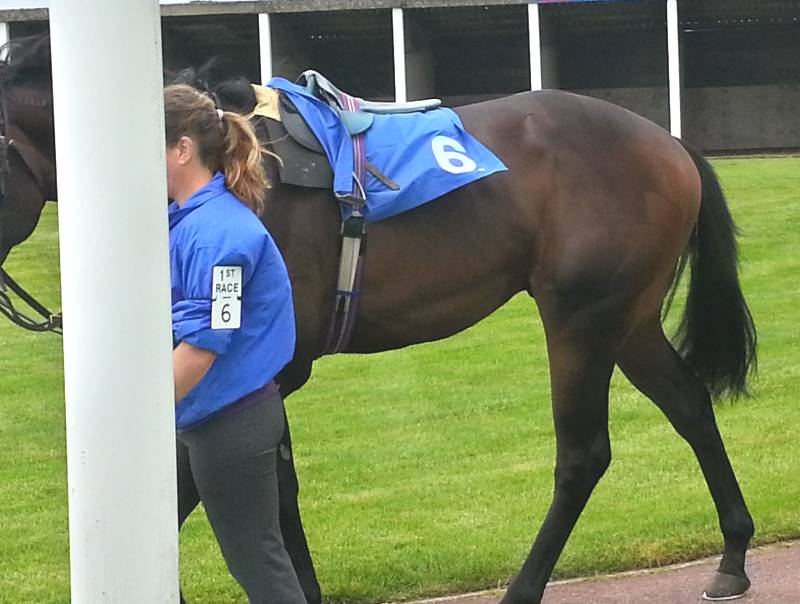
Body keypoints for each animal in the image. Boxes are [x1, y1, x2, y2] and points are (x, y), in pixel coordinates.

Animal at [0, 35, 757, 603]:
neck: (237, 174)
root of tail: (668, 142)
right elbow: (269, 485)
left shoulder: (264, 366)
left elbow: (205, 481)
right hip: (626, 317)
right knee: (689, 405)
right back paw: (733, 554)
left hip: (581, 317)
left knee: (583, 454)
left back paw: (524, 587)